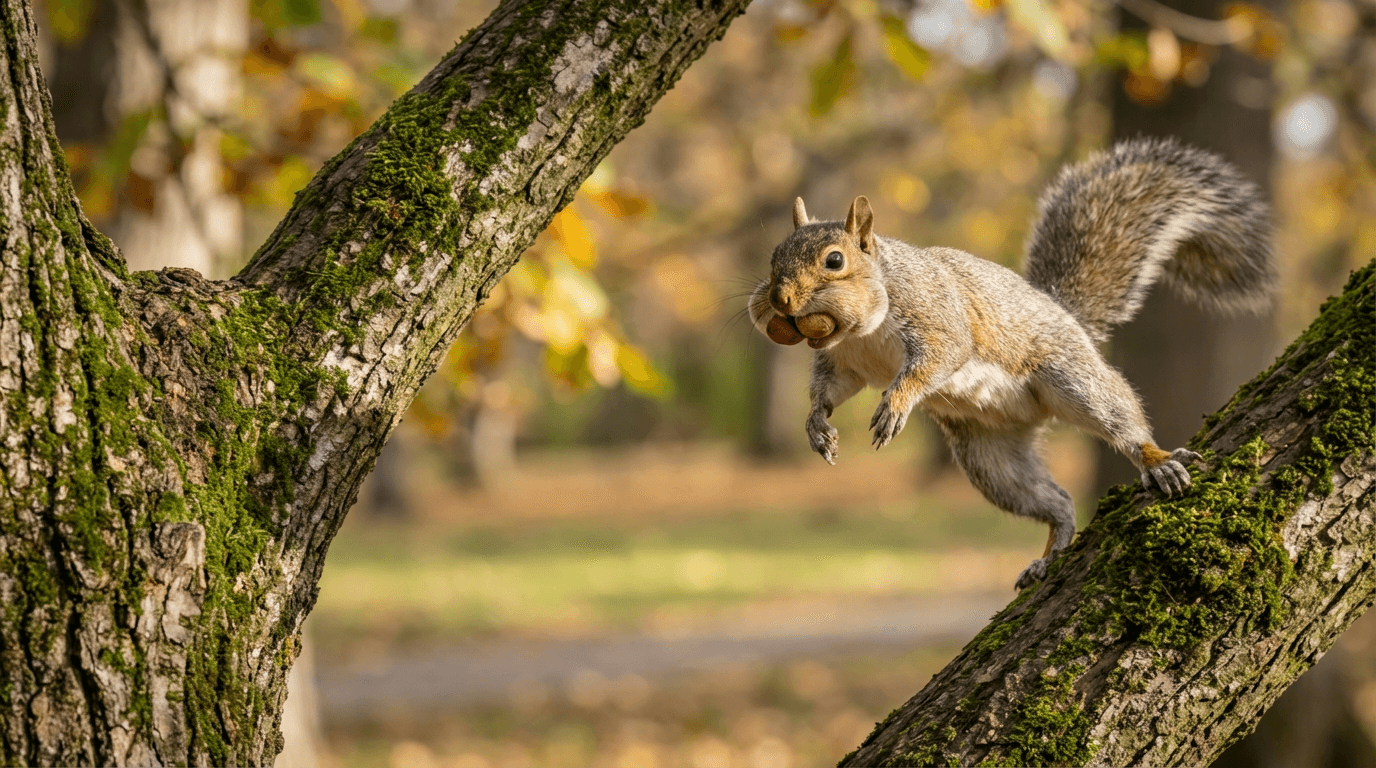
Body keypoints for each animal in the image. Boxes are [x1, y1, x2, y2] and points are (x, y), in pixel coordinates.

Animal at [748, 137, 1277, 590]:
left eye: (835, 261)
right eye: (773, 256)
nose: (779, 299)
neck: (864, 330)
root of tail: (1064, 313)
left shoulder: (937, 317)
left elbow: (937, 358)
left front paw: (895, 405)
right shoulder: (844, 363)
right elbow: (829, 391)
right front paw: (817, 425)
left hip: (1071, 377)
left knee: (1118, 416)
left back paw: (1156, 460)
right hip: (993, 462)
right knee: (1055, 501)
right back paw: (1049, 556)